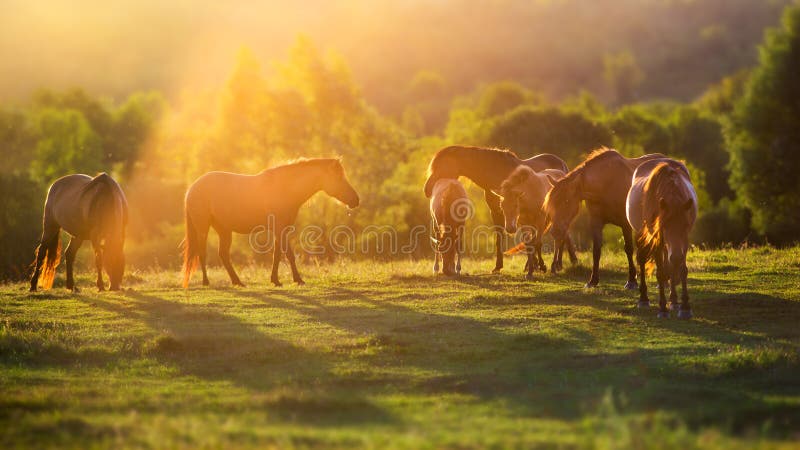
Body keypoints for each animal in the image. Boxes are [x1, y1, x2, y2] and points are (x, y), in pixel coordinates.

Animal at [184, 156, 360, 286]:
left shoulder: (280, 230)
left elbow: (277, 254)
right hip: (203, 228)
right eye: (339, 178)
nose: (356, 200)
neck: (285, 188)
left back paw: (237, 281)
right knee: (202, 252)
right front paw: (298, 279)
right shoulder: (280, 229)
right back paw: (206, 282)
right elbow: (288, 254)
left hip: (224, 229)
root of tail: (192, 188)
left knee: (223, 255)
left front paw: (275, 280)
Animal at [424, 147, 568, 274]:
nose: (427, 190)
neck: (498, 173)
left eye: (440, 165)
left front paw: (538, 265)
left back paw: (558, 265)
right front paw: (498, 267)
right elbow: (501, 238)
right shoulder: (497, 212)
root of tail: (562, 164)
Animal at [540, 148, 664, 288]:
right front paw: (592, 280)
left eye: (566, 201)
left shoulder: (625, 224)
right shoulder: (596, 222)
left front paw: (631, 281)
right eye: (552, 204)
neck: (607, 184)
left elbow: (628, 249)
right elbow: (596, 250)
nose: (555, 231)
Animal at [628, 157, 696, 316]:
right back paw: (644, 299)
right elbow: (660, 272)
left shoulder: (684, 240)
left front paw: (684, 306)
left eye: (685, 225)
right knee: (642, 260)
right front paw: (663, 308)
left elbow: (681, 270)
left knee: (669, 265)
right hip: (641, 235)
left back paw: (674, 300)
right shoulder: (657, 239)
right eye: (664, 226)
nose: (676, 256)